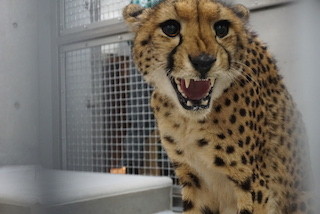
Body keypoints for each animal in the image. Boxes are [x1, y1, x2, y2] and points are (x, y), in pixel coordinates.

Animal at [122, 0, 316, 213]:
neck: (189, 120)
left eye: (221, 28)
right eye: (170, 28)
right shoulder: (194, 177)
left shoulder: (252, 181)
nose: (203, 61)